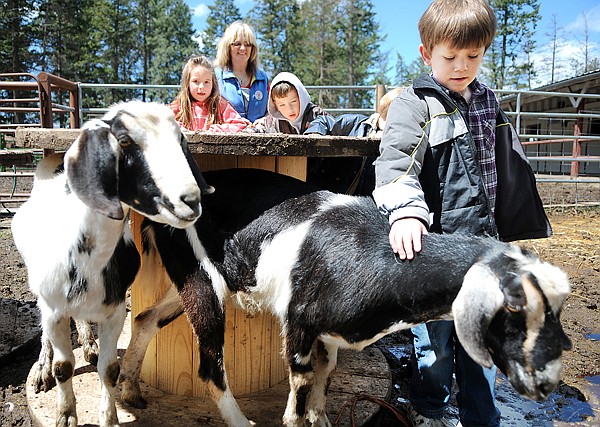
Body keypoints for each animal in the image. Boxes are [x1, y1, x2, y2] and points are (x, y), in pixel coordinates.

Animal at [9, 102, 213, 427]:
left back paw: (88, 344)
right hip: (41, 292)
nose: (191, 201)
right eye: (124, 140)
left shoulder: (114, 310)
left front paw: (110, 418)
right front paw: (65, 415)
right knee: (45, 330)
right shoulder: (54, 309)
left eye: (179, 138)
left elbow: (109, 369)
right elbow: (64, 367)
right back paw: (42, 368)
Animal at [118, 170, 572, 427]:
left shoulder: (328, 333)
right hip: (202, 281)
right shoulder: (299, 320)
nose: (546, 382)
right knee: (210, 365)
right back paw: (240, 421)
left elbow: (326, 378)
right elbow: (301, 388)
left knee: (144, 318)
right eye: (513, 308)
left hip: (193, 282)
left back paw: (129, 392)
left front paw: (321, 418)